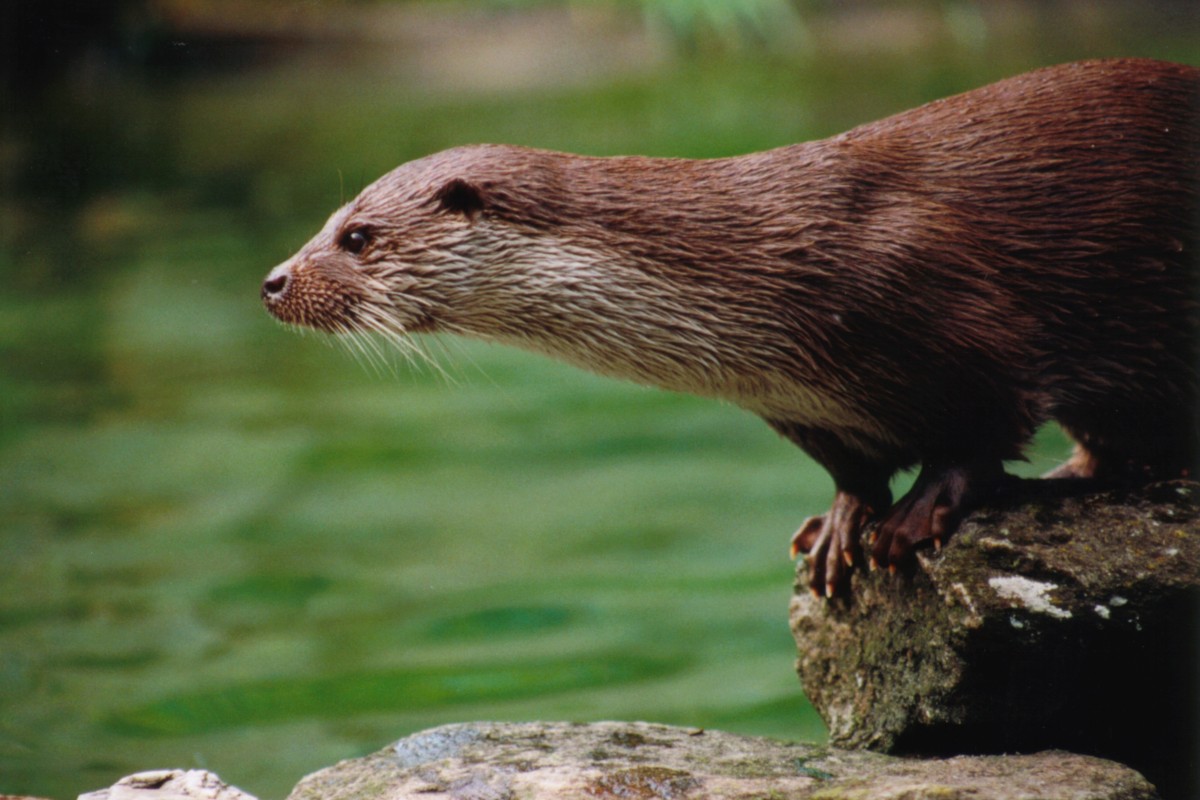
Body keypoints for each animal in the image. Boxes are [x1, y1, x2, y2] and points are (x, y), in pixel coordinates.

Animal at [262, 58, 1199, 598]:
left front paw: (916, 515)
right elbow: (854, 471)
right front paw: (839, 528)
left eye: (357, 235)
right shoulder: (796, 406)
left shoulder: (954, 311)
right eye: (327, 220)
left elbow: (983, 432)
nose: (273, 282)